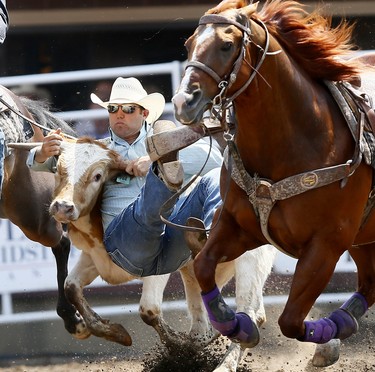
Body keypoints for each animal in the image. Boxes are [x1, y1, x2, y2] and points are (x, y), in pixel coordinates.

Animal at [173, 0, 375, 366]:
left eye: (226, 45)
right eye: (189, 43)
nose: (183, 101)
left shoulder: (326, 246)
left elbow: (291, 320)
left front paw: (325, 337)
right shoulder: (237, 226)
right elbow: (204, 265)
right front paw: (237, 325)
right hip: (363, 240)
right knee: (369, 283)